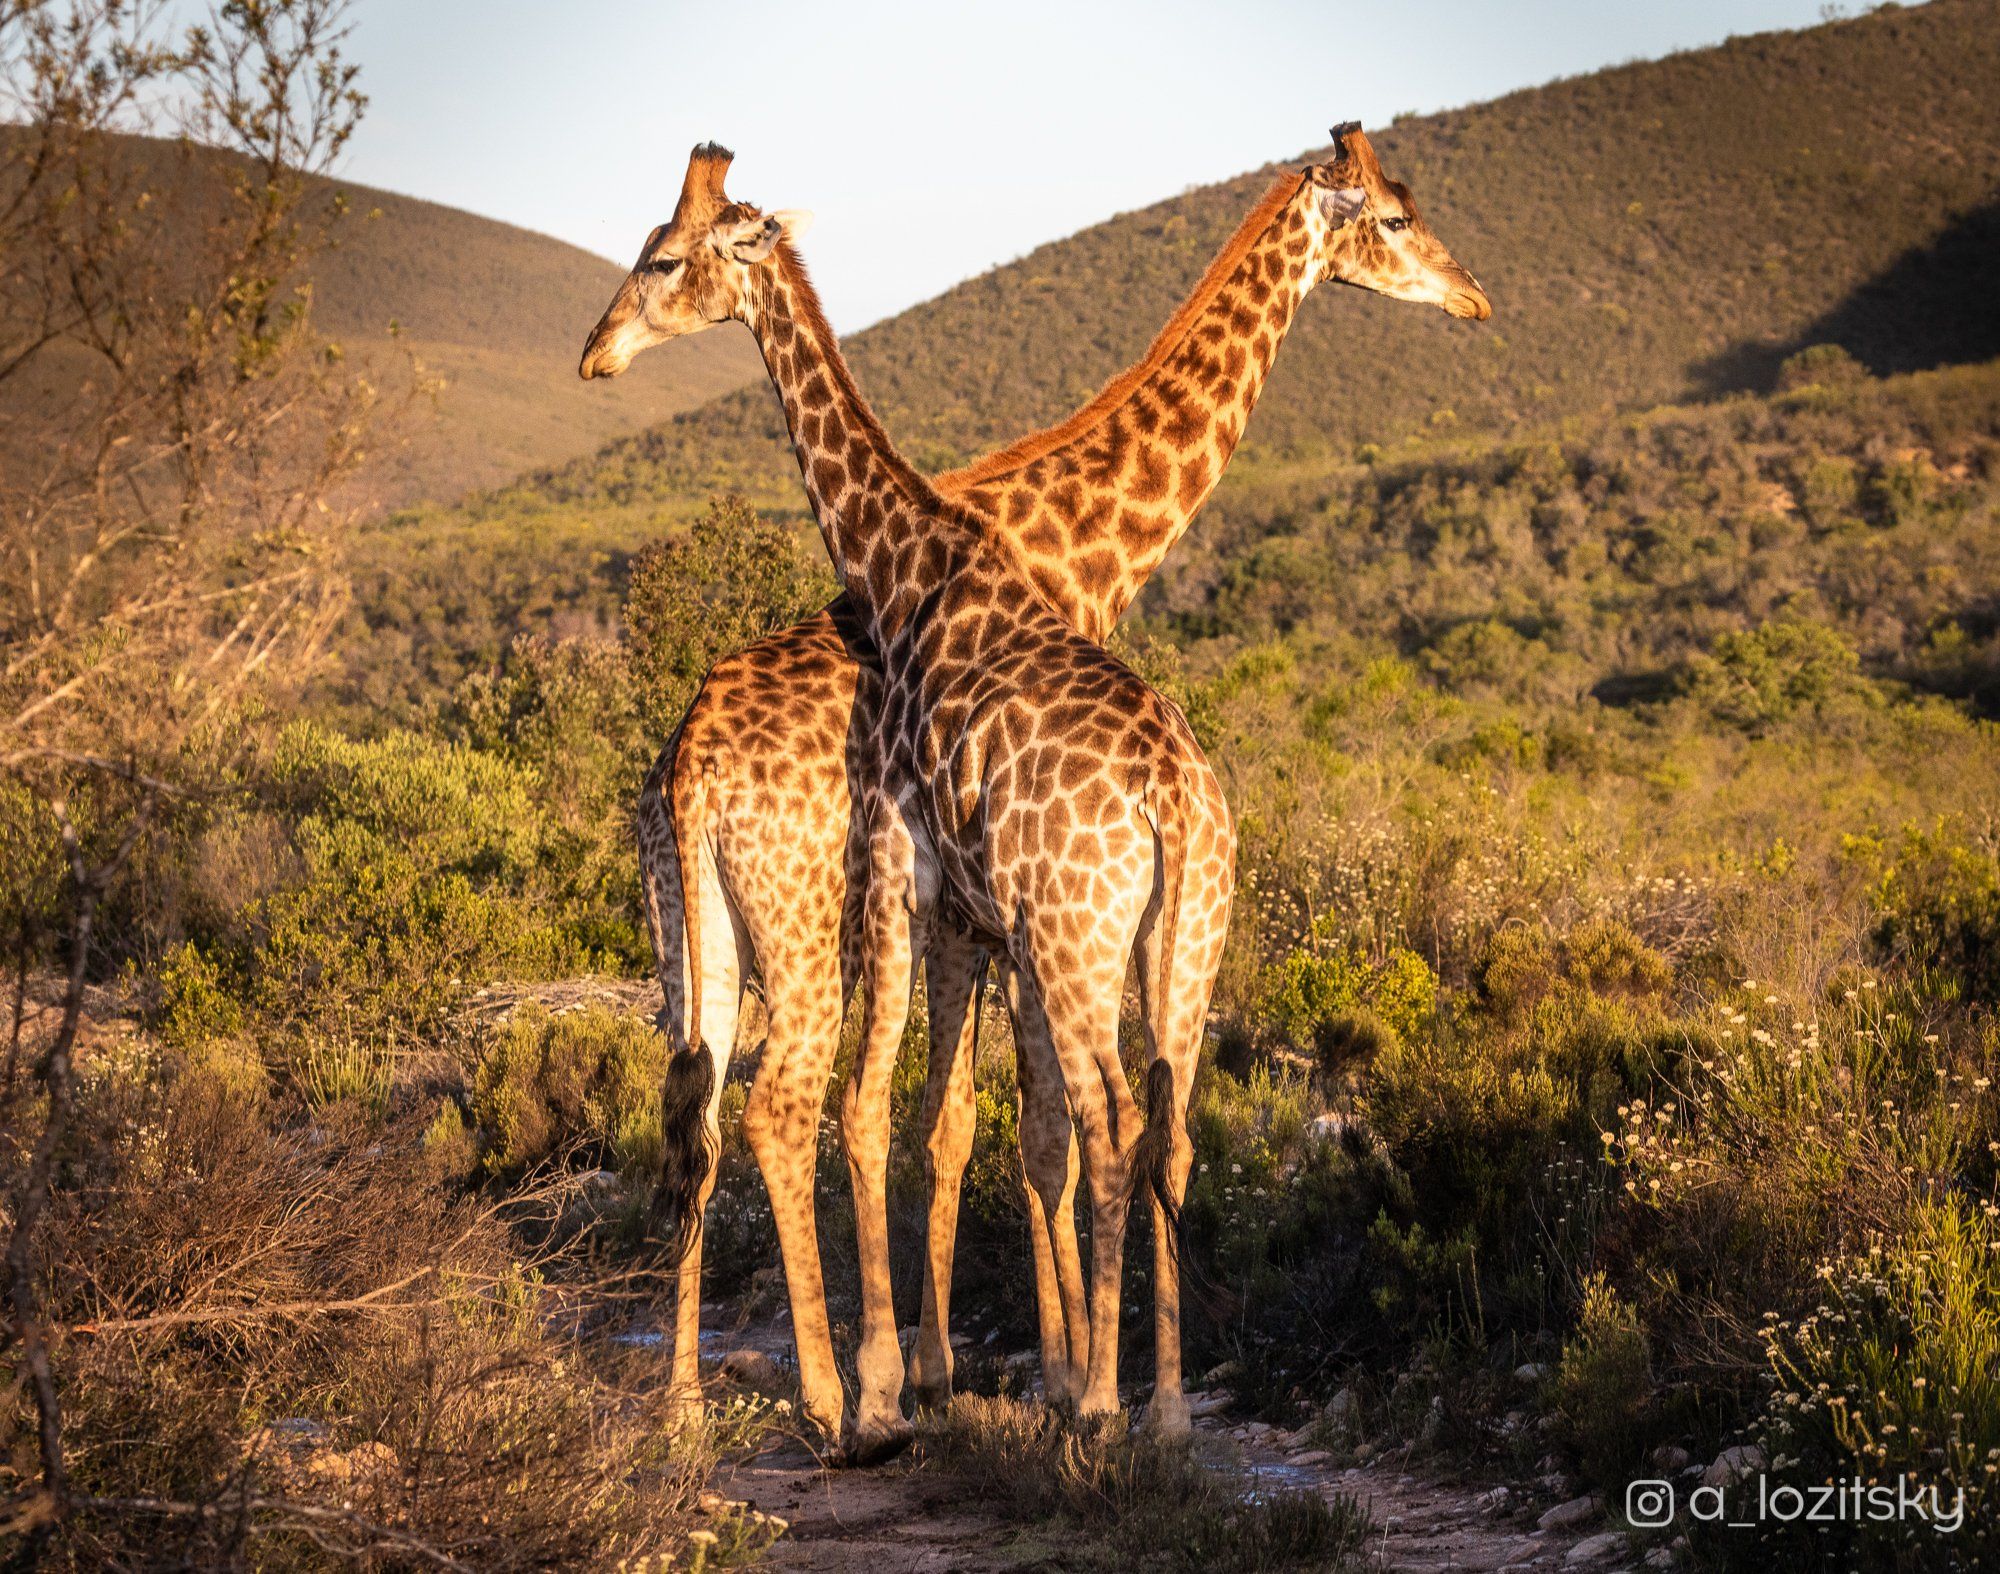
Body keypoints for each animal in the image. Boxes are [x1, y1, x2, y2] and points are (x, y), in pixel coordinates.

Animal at [580, 129, 1488, 1456]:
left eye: (661, 256)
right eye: (1393, 216)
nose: (1472, 297)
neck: (1065, 538)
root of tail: (688, 755)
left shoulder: (971, 908)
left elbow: (981, 1120)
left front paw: (979, 1365)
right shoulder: (975, 903)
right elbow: (1018, 1123)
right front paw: (1017, 1369)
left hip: (690, 932)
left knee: (699, 1110)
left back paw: (697, 1403)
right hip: (807, 921)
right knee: (797, 1106)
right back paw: (851, 1394)